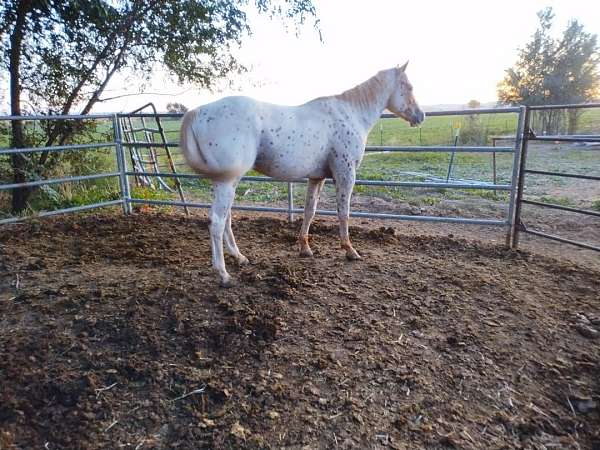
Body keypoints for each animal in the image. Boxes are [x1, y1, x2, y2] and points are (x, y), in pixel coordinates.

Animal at [180, 61, 424, 286]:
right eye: (409, 87)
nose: (420, 116)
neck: (351, 114)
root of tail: (196, 112)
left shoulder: (317, 177)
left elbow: (309, 211)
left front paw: (305, 248)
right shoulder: (345, 174)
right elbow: (343, 213)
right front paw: (350, 250)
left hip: (225, 181)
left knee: (226, 219)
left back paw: (239, 258)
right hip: (227, 181)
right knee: (217, 221)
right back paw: (223, 274)